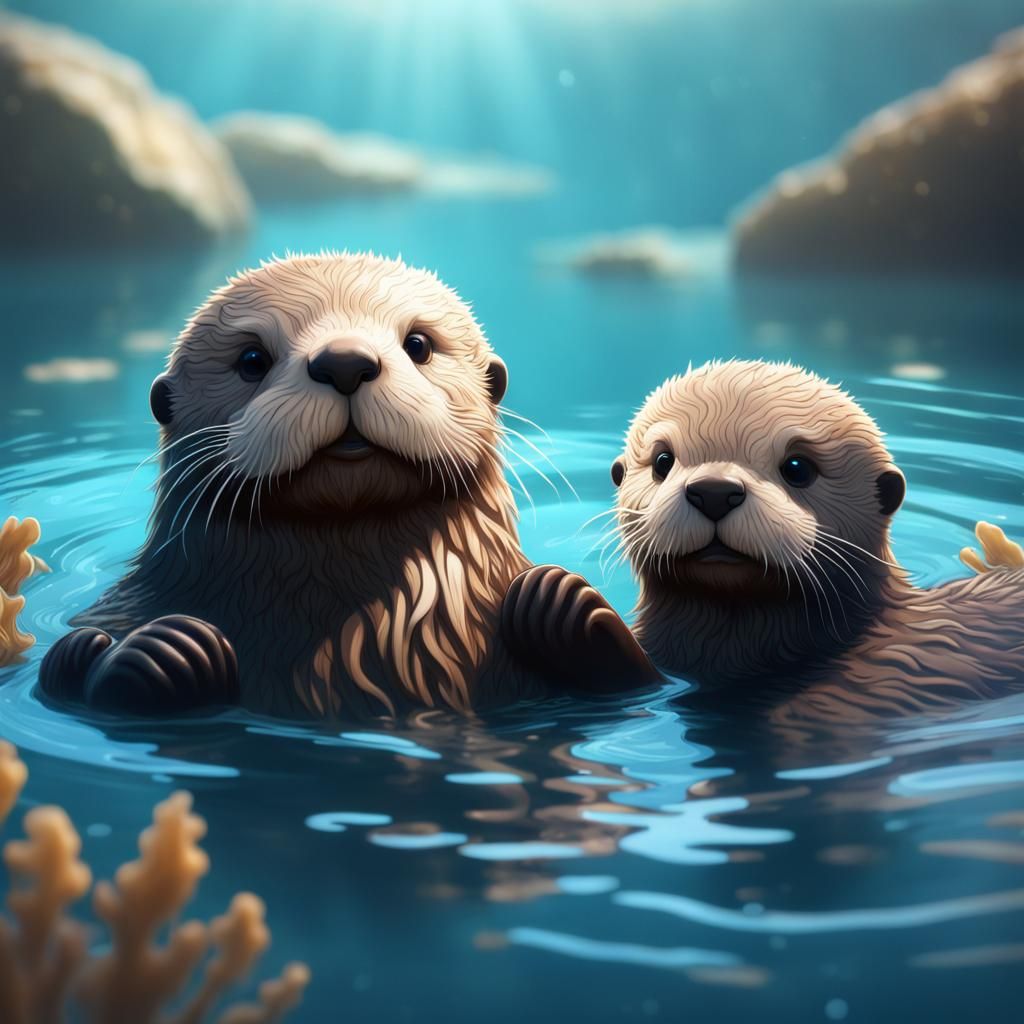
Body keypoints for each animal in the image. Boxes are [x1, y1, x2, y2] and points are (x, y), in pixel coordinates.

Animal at [40, 253, 657, 718]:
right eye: (252, 359)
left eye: (418, 344)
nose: (343, 362)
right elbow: (62, 670)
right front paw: (165, 649)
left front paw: (557, 601)